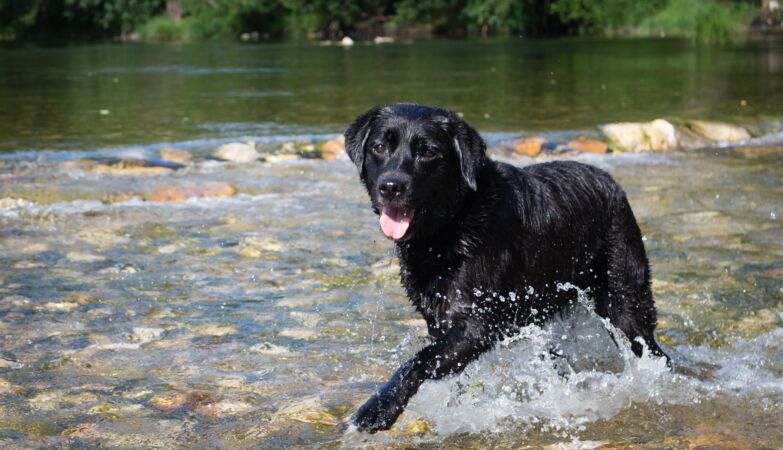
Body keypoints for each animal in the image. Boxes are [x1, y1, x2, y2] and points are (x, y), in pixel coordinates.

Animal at [346, 103, 672, 432]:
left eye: (428, 152)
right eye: (378, 147)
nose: (391, 186)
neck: (455, 221)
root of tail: (612, 183)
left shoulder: (477, 323)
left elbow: (420, 360)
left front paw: (379, 407)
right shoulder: (440, 320)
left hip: (625, 300)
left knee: (652, 349)